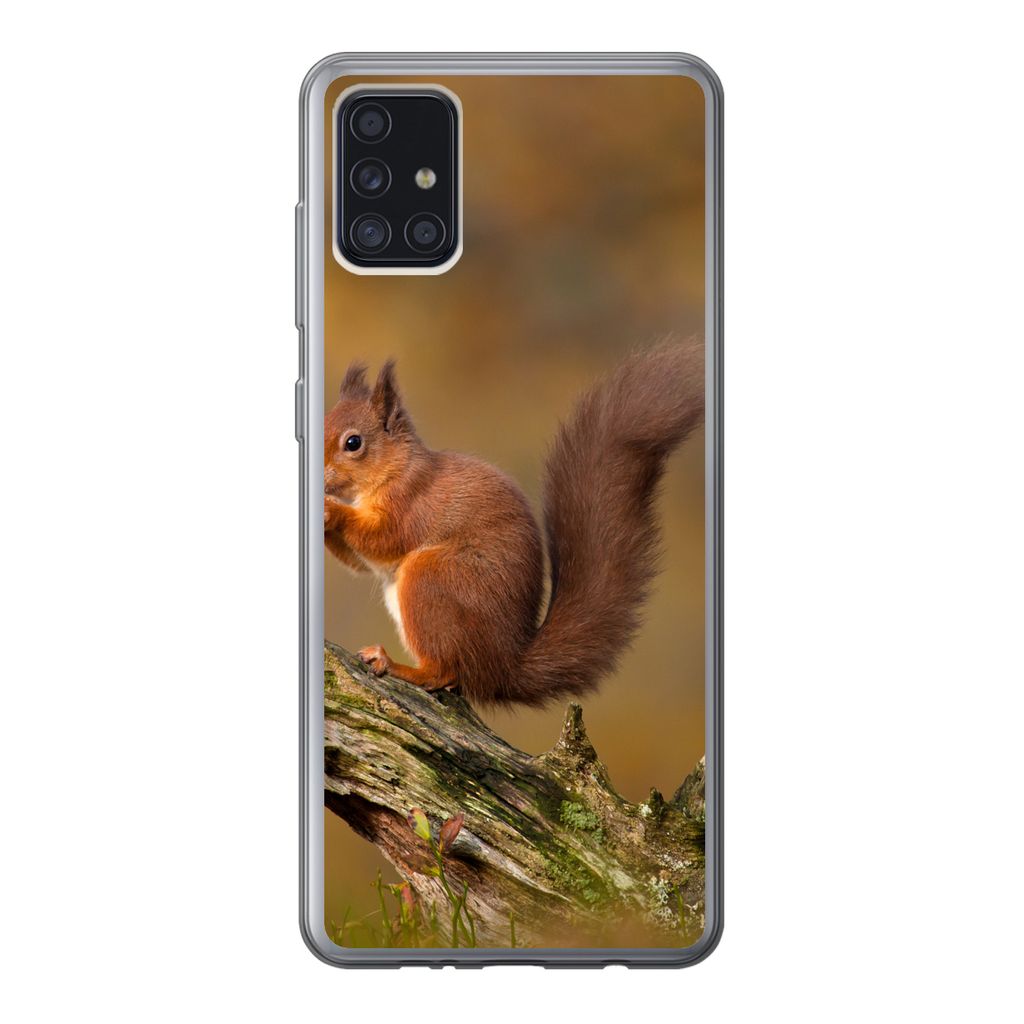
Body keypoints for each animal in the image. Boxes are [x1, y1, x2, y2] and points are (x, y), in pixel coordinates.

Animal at [323, 341, 704, 707]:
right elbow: (360, 563)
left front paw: (330, 509)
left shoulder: (411, 503)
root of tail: (503, 668)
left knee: (442, 672)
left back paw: (395, 665)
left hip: (432, 578)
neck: (394, 469)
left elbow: (384, 538)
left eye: (353, 442)